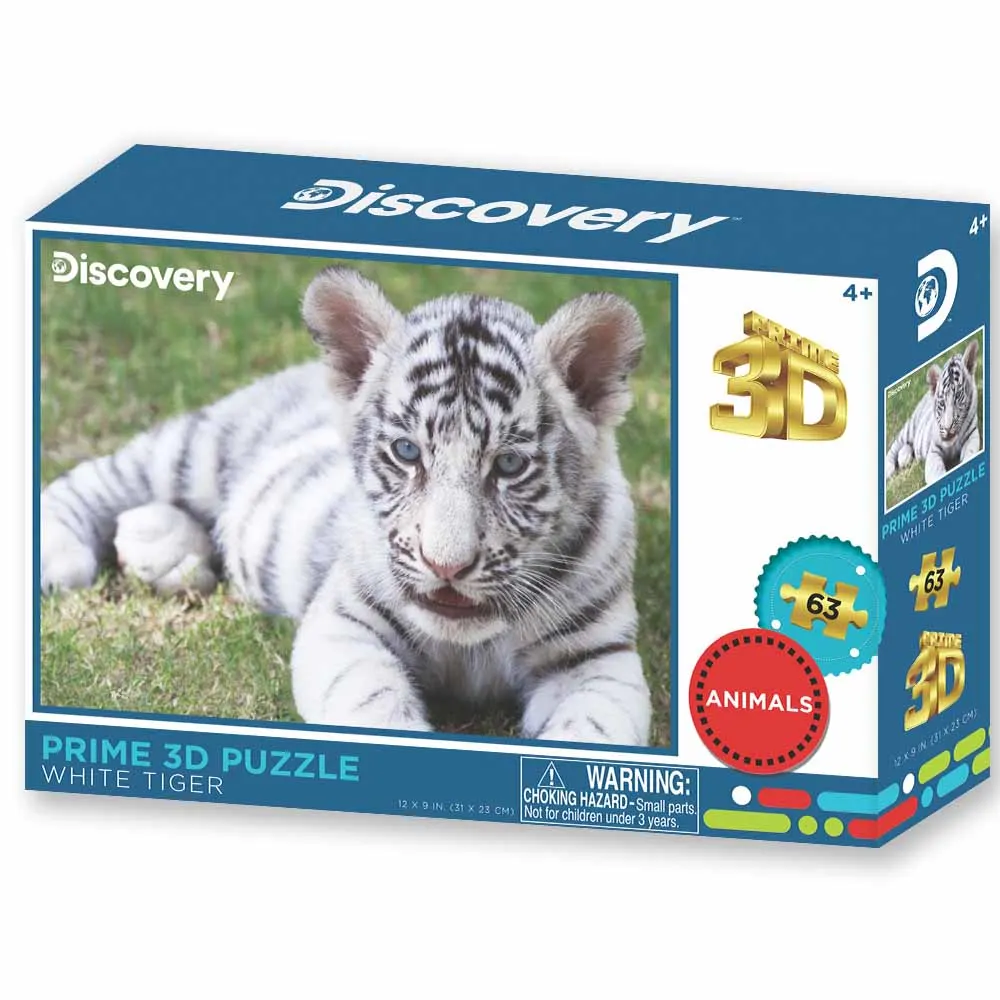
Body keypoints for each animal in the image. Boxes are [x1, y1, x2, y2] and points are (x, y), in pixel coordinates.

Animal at [40, 267, 654, 746]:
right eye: (407, 452)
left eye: (507, 465)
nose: (446, 567)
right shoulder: (346, 620)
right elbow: (373, 703)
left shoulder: (594, 657)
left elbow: (593, 730)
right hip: (200, 448)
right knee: (108, 475)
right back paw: (60, 555)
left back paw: (165, 552)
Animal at [885, 338, 981, 486]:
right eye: (942, 403)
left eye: (958, 399)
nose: (947, 428)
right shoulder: (934, 450)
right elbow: (936, 472)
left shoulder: (972, 436)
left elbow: (970, 452)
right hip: (909, 429)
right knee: (894, 447)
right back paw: (889, 469)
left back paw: (904, 457)